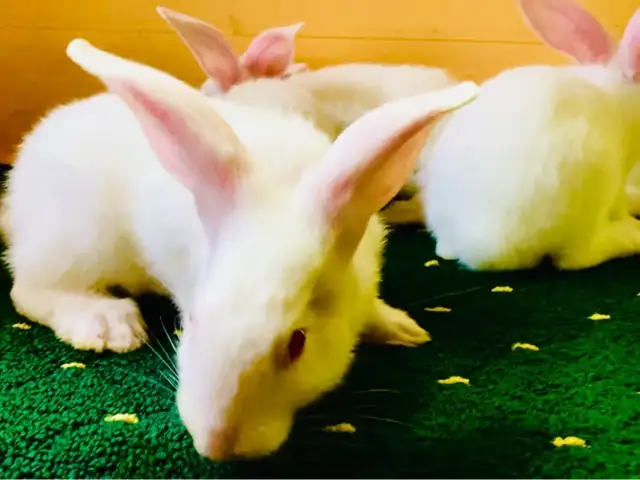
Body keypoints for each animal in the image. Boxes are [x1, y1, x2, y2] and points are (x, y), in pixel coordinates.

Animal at [2, 37, 478, 459]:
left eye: (297, 343)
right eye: (192, 321)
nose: (215, 445)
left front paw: (402, 329)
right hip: (79, 245)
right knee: (29, 290)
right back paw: (107, 324)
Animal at [417, 0, 640, 272]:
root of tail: (484, 247)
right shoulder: (618, 180)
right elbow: (619, 205)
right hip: (594, 180)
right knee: (577, 256)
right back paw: (632, 236)